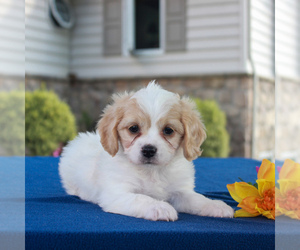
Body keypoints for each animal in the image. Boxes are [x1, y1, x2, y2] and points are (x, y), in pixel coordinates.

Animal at [58, 81, 233, 221]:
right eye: (133, 128)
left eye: (168, 130)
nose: (149, 150)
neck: (152, 171)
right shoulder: (117, 193)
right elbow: (141, 198)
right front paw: (159, 207)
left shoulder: (181, 192)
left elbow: (197, 199)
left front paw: (215, 205)